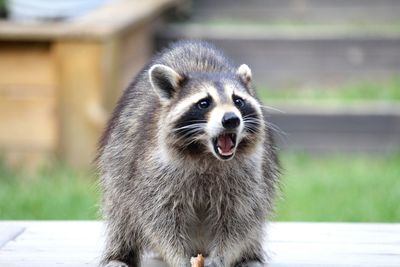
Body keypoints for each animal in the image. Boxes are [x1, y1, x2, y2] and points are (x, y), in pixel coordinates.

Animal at [98, 40, 280, 267]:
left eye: (238, 101)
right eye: (204, 103)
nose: (231, 119)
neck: (206, 153)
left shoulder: (248, 174)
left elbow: (240, 217)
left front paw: (222, 255)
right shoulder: (154, 171)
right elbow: (159, 217)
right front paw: (177, 256)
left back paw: (249, 256)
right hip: (119, 156)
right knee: (121, 211)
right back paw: (119, 254)